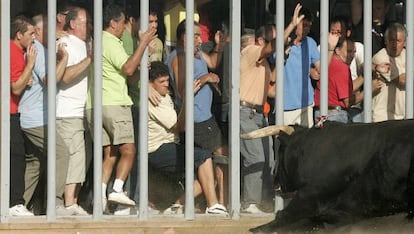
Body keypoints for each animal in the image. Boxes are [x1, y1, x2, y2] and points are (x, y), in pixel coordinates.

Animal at [241, 120, 414, 232]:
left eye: (281, 150)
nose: (274, 178)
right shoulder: (346, 211)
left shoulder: (310, 196)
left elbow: (283, 216)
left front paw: (257, 229)